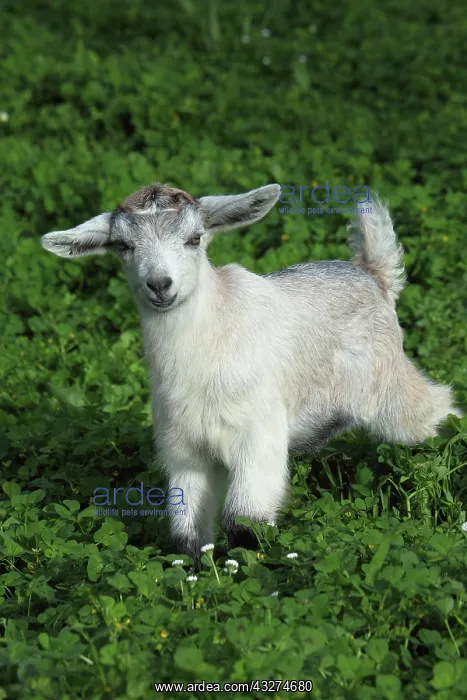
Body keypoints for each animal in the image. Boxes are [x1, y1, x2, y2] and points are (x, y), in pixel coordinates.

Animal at [41, 183, 461, 561]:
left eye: (195, 238)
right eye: (124, 246)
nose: (160, 285)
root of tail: (372, 274)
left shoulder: (259, 437)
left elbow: (244, 523)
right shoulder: (184, 450)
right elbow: (186, 534)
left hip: (388, 385)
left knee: (438, 409)